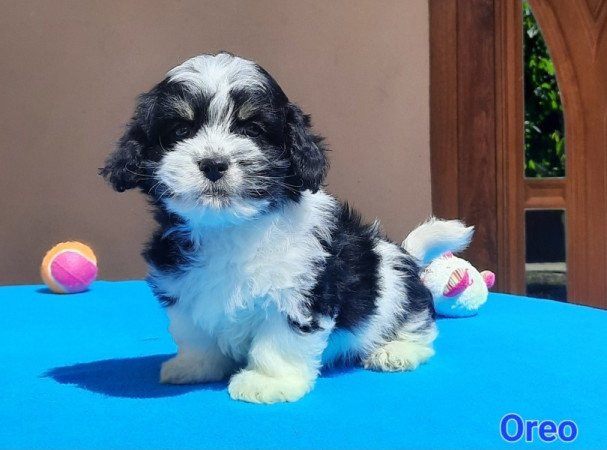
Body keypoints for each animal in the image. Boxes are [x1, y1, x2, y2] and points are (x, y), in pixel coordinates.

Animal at [101, 52, 476, 404]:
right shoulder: (181, 286)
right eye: (180, 131)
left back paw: (396, 350)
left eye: (252, 130)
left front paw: (268, 382)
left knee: (418, 324)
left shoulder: (299, 290)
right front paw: (195, 365)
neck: (230, 226)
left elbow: (279, 340)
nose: (214, 163)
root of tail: (405, 255)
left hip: (396, 288)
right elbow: (194, 333)